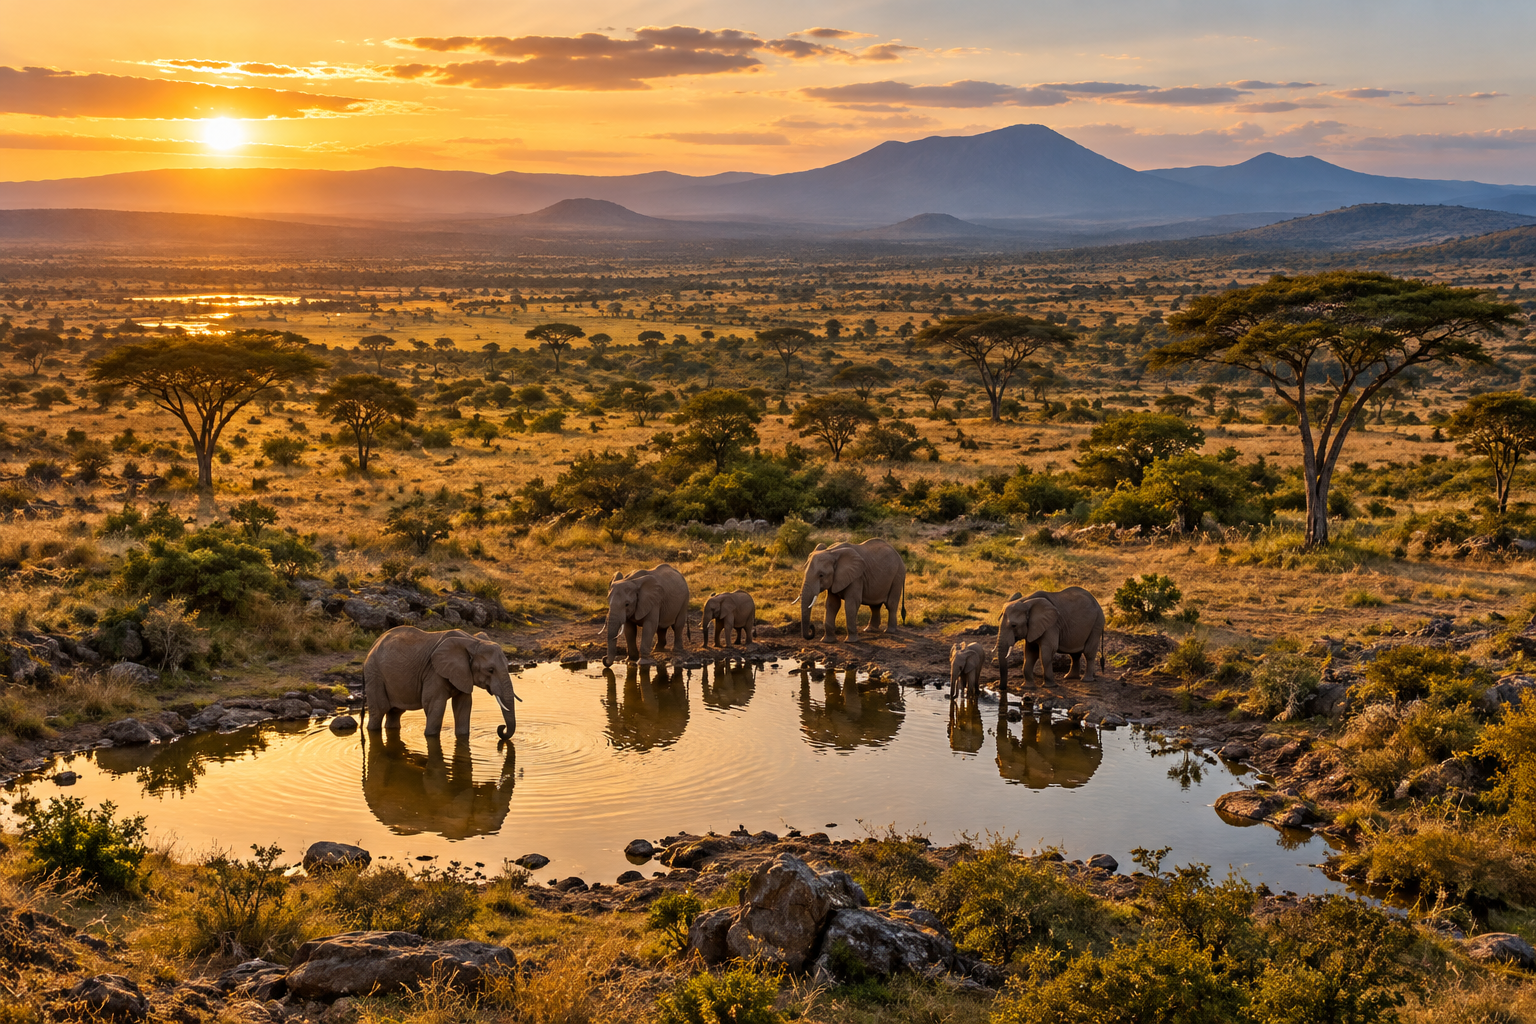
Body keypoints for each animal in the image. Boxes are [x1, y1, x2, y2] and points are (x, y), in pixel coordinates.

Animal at [363, 626, 519, 739]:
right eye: (491, 670)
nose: (501, 728)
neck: (472, 641)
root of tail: (373, 645)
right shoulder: (434, 672)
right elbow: (435, 705)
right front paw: (430, 736)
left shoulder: (463, 674)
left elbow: (463, 705)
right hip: (374, 674)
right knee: (379, 710)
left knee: (395, 713)